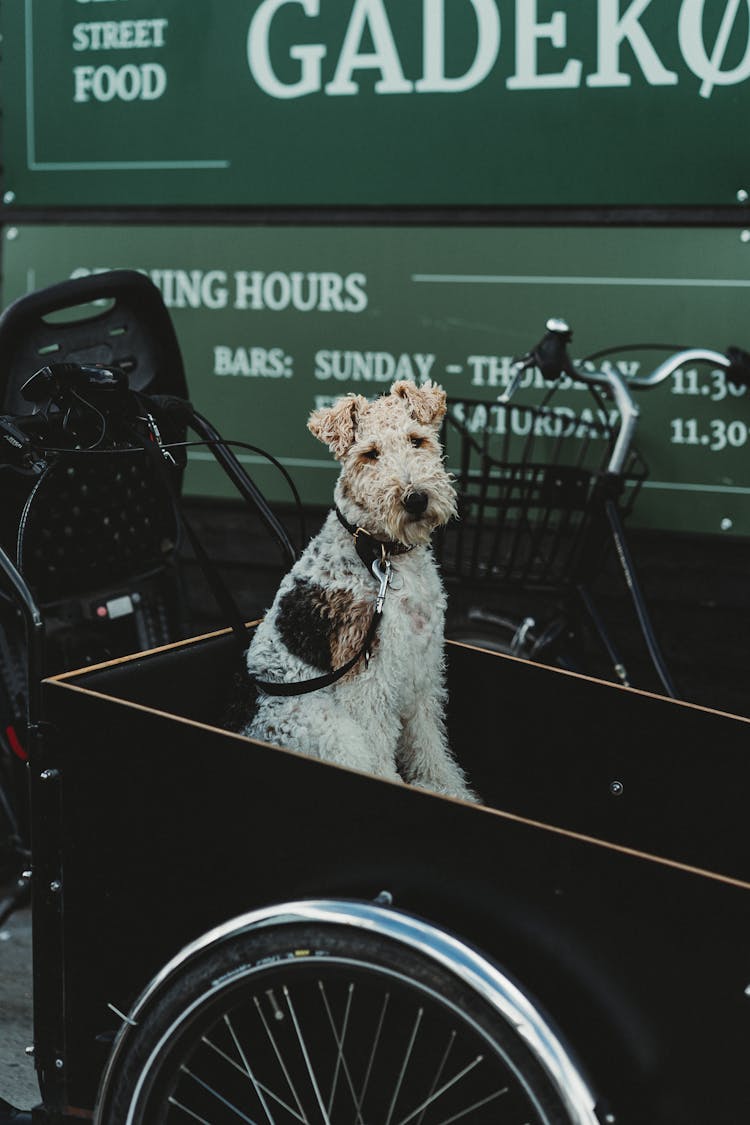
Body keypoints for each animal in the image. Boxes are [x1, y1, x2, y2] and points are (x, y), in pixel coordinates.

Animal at [240, 382, 481, 805]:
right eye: (370, 454)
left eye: (417, 440)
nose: (416, 499)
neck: (381, 556)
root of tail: (254, 725)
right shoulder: (370, 680)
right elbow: (379, 753)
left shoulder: (423, 671)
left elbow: (429, 744)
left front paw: (448, 789)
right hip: (332, 731)